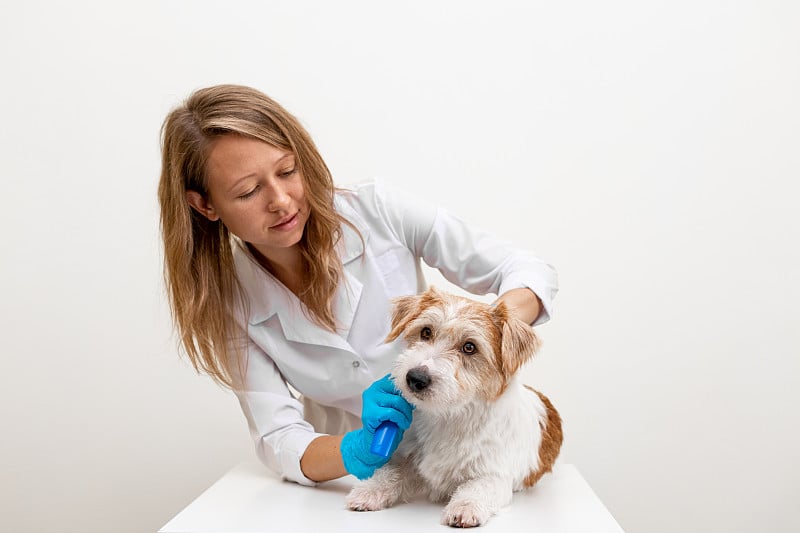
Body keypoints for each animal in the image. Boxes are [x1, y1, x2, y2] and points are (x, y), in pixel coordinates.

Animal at [346, 284, 564, 524]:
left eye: (469, 347)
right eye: (426, 332)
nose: (415, 378)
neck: (449, 416)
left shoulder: (494, 475)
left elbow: (477, 488)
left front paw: (465, 507)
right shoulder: (407, 457)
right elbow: (390, 472)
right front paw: (369, 490)